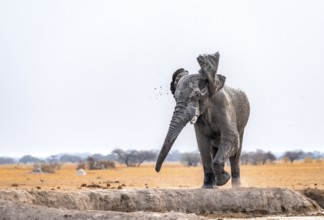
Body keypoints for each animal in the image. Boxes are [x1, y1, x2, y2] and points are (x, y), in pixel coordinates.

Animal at [155, 51, 251, 187]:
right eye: (175, 97)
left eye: (196, 95)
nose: (157, 170)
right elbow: (202, 144)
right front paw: (208, 187)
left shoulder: (224, 107)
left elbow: (231, 138)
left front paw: (223, 180)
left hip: (242, 124)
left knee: (236, 153)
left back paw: (236, 186)